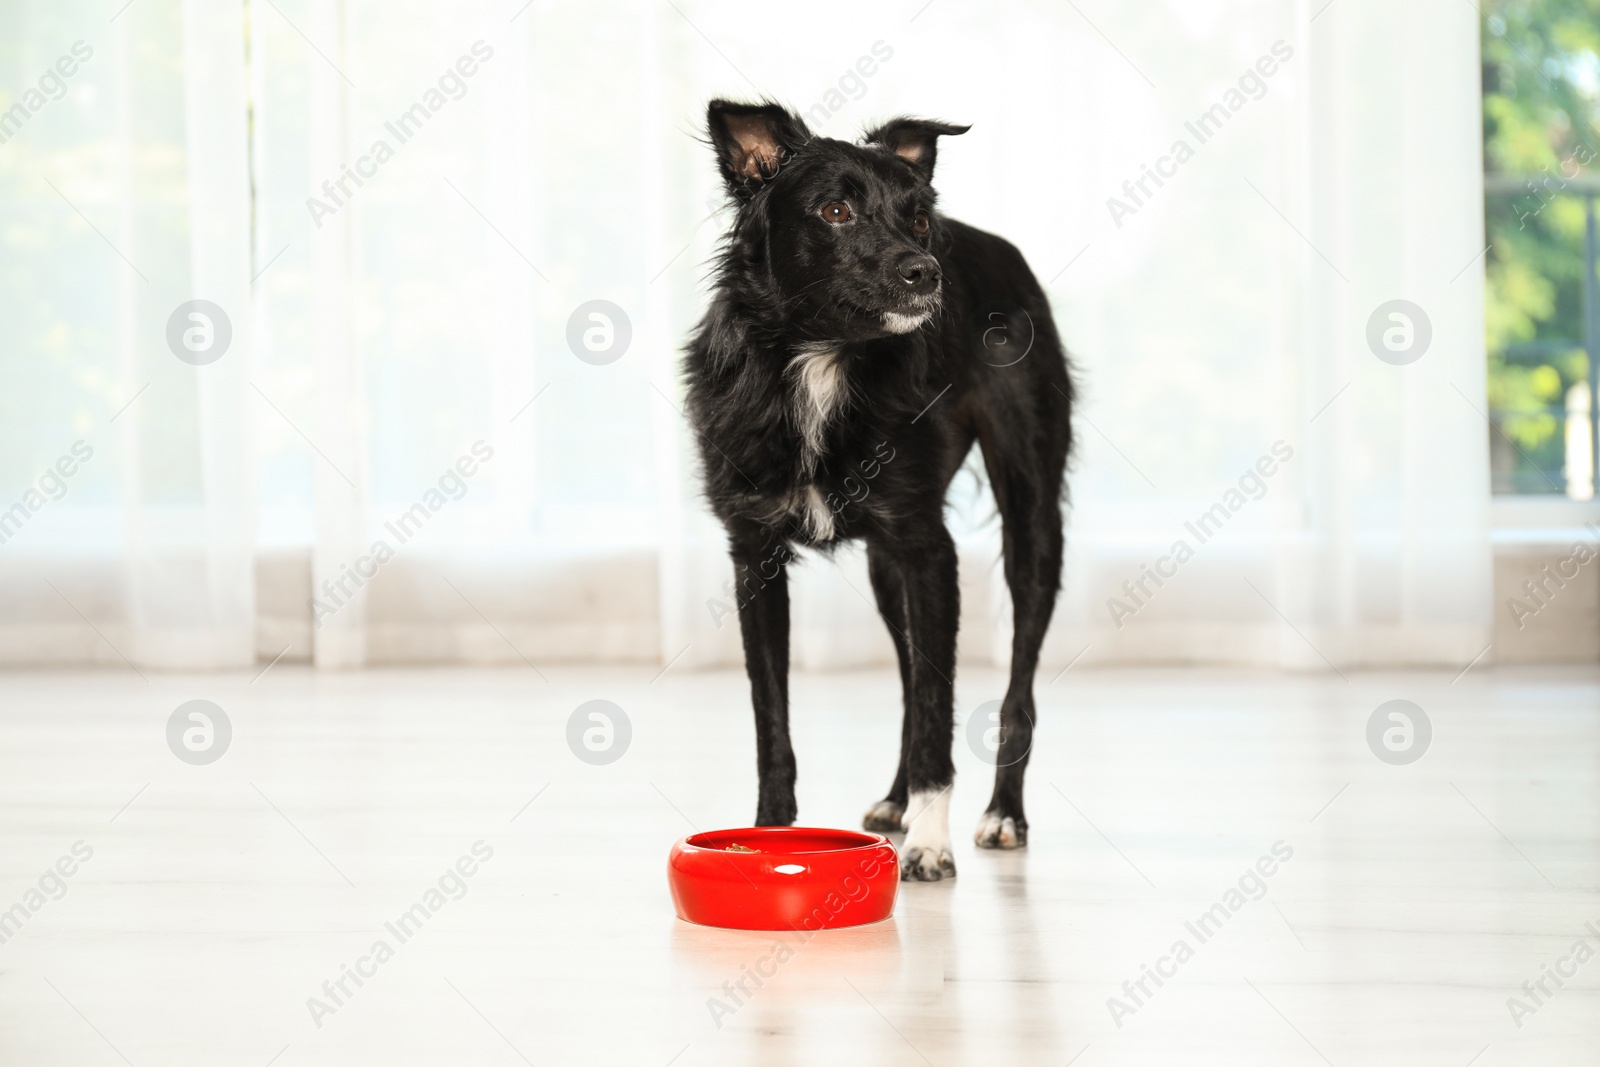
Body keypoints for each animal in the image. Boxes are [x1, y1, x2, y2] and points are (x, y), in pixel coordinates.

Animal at [684, 102, 1075, 883]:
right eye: (834, 211)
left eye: (919, 218)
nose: (927, 272)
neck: (819, 360)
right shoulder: (755, 556)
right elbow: (773, 718)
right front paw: (768, 836)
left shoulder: (929, 552)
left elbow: (936, 708)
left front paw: (930, 842)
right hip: (884, 571)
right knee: (909, 682)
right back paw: (898, 802)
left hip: (1032, 524)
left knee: (1013, 686)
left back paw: (1002, 814)